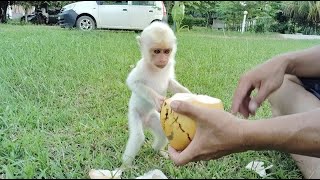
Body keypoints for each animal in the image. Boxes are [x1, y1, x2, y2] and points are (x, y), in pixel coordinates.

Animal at [122, 21, 190, 166]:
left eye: (166, 51)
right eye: (157, 51)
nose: (163, 59)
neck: (155, 68)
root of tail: (145, 123)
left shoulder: (170, 65)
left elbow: (170, 82)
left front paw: (187, 93)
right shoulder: (141, 66)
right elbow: (133, 83)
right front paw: (157, 99)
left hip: (154, 118)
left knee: (163, 134)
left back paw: (157, 151)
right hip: (135, 115)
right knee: (138, 137)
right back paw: (125, 165)